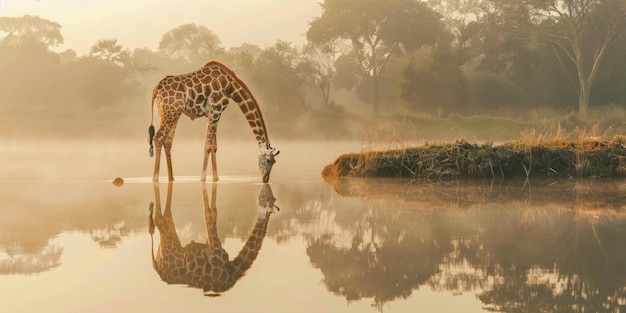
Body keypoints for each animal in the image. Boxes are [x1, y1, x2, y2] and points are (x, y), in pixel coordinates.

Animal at [147, 59, 278, 182]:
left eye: (274, 162)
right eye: (268, 160)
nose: (265, 179)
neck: (230, 87)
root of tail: (156, 89)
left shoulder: (210, 114)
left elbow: (214, 147)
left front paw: (216, 178)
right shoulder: (215, 110)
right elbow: (207, 146)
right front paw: (203, 178)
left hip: (166, 112)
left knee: (167, 141)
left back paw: (171, 178)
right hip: (172, 112)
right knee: (158, 137)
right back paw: (155, 178)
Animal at [147, 182, 276, 294]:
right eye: (264, 196)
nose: (267, 190)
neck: (232, 269)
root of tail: (157, 269)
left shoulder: (209, 242)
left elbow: (211, 212)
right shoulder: (215, 249)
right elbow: (209, 212)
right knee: (160, 217)